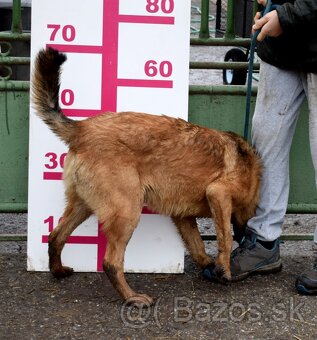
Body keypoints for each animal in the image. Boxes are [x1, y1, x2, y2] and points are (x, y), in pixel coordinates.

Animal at [31, 47, 262, 306]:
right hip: (127, 213)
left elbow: (197, 243)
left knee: (55, 236)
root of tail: (82, 130)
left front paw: (207, 264)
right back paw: (132, 297)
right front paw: (224, 269)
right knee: (110, 263)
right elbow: (225, 237)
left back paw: (58, 271)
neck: (251, 169)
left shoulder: (184, 217)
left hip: (83, 206)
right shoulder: (219, 194)